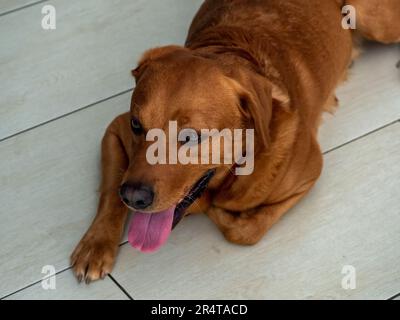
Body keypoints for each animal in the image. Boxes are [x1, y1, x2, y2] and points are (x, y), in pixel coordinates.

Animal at [72, 0, 400, 282]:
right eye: (136, 124)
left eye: (190, 137)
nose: (133, 198)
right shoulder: (114, 130)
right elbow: (109, 191)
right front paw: (96, 244)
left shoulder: (310, 173)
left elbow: (246, 231)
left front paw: (219, 214)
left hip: (374, 19)